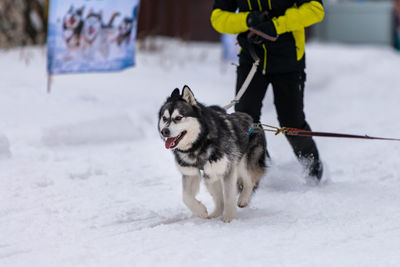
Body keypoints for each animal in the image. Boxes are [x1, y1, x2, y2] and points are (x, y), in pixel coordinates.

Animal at [158, 86, 268, 224]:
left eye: (178, 118)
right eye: (164, 118)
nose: (164, 131)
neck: (199, 144)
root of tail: (253, 122)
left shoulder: (228, 169)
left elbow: (228, 195)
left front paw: (229, 217)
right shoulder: (190, 173)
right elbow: (186, 197)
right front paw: (200, 211)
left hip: (243, 162)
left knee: (250, 180)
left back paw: (243, 199)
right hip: (210, 176)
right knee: (219, 198)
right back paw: (215, 214)